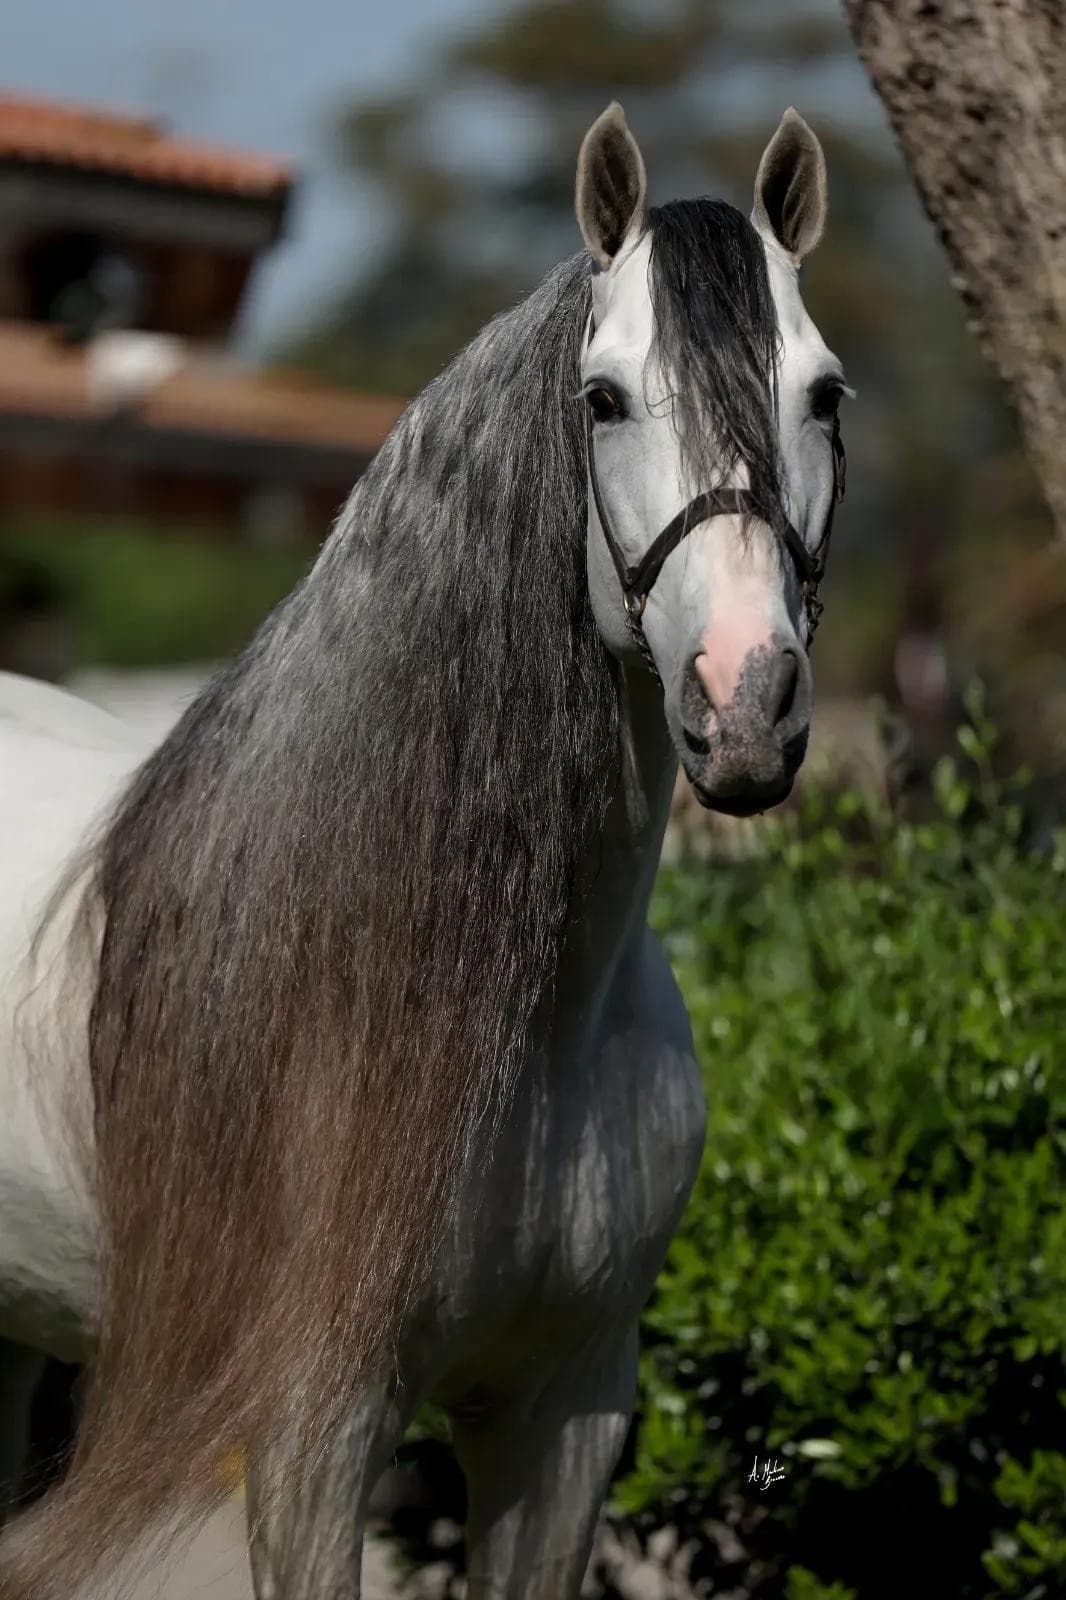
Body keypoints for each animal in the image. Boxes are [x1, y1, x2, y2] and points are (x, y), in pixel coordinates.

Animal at [0, 102, 848, 1599]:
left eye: (827, 397)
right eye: (602, 401)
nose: (744, 702)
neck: (535, 1029)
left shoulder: (567, 1417)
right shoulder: (312, 1439)